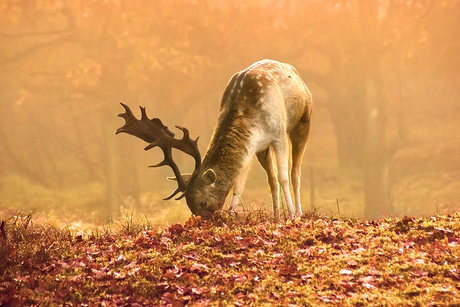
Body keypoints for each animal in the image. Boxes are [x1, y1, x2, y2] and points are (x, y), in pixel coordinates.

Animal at [117, 59, 314, 220]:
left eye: (203, 202)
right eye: (189, 206)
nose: (207, 221)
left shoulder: (278, 134)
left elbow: (283, 177)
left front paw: (291, 215)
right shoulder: (253, 147)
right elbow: (239, 184)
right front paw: (232, 213)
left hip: (303, 123)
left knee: (294, 172)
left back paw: (298, 213)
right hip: (264, 150)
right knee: (271, 178)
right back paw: (276, 215)